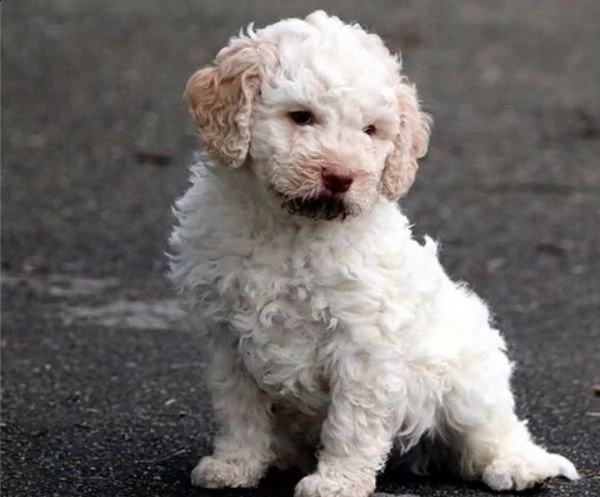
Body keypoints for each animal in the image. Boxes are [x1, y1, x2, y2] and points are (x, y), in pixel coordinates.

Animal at [168, 11, 576, 496]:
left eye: (371, 131)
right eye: (301, 116)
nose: (341, 176)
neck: (292, 229)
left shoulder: (362, 342)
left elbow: (352, 422)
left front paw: (336, 482)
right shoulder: (227, 338)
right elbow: (238, 411)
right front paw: (234, 466)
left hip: (467, 376)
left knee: (492, 427)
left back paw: (517, 465)